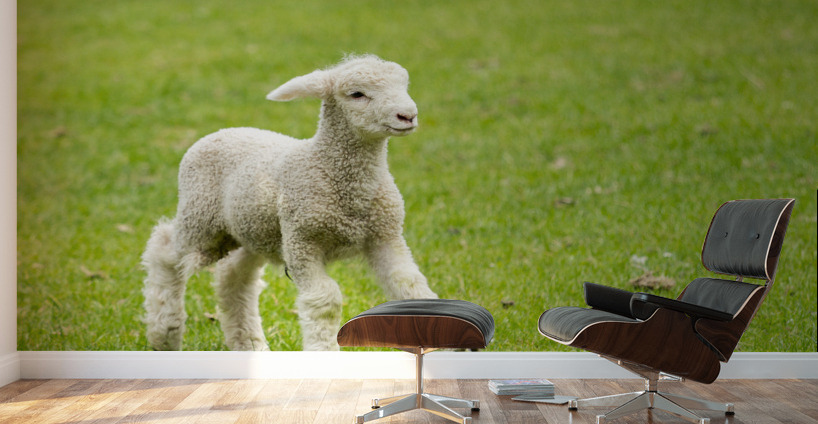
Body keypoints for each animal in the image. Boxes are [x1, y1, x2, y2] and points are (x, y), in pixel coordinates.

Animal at [141, 54, 438, 351]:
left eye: (404, 85)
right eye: (357, 94)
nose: (408, 115)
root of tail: (221, 131)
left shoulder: (385, 236)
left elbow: (411, 285)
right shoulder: (302, 241)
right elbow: (325, 300)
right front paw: (324, 352)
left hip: (251, 231)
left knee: (234, 278)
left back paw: (250, 344)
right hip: (201, 219)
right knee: (164, 250)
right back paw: (164, 333)